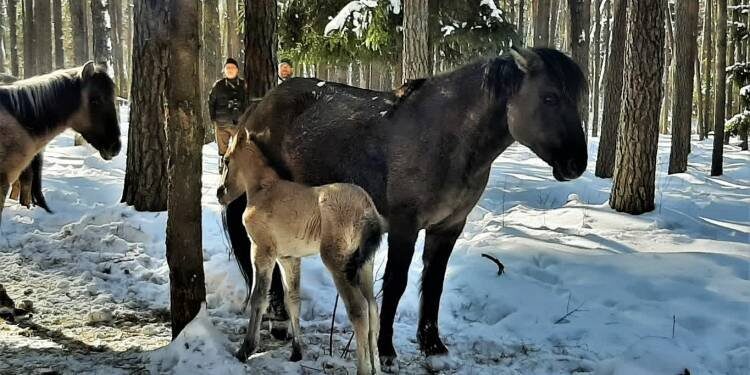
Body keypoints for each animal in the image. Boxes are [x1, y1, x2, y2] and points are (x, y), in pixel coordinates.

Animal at [223, 47, 588, 370]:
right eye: (550, 97)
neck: (446, 138)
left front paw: (433, 346)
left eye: (578, 99)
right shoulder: (403, 227)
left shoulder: (448, 228)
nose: (576, 164)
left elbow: (434, 284)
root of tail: (257, 109)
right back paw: (278, 322)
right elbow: (396, 285)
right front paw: (386, 350)